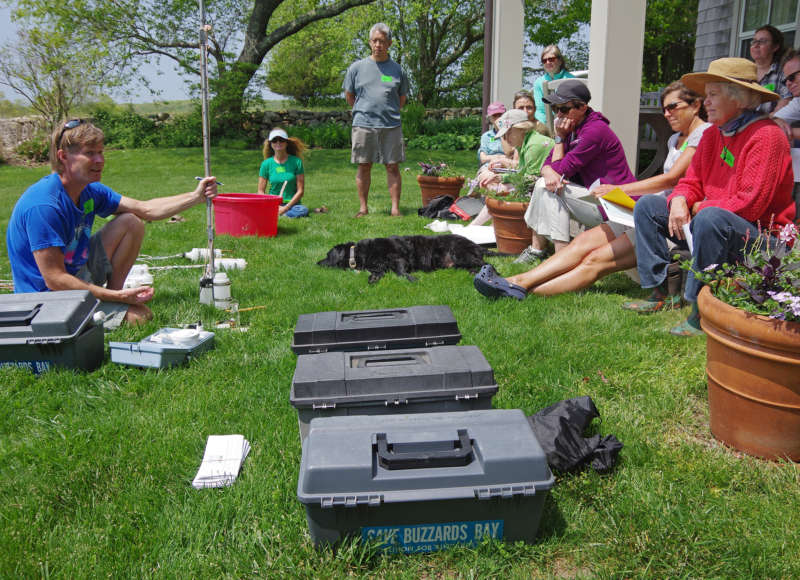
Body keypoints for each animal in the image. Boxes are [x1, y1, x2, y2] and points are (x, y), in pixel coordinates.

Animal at [318, 233, 494, 284]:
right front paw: (373, 279)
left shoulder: (398, 259)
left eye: (327, 255)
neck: (360, 253)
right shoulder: (379, 266)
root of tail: (477, 245)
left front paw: (412, 279)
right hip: (458, 262)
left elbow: (400, 272)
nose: (317, 263)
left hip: (460, 253)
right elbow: (377, 272)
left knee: (487, 263)